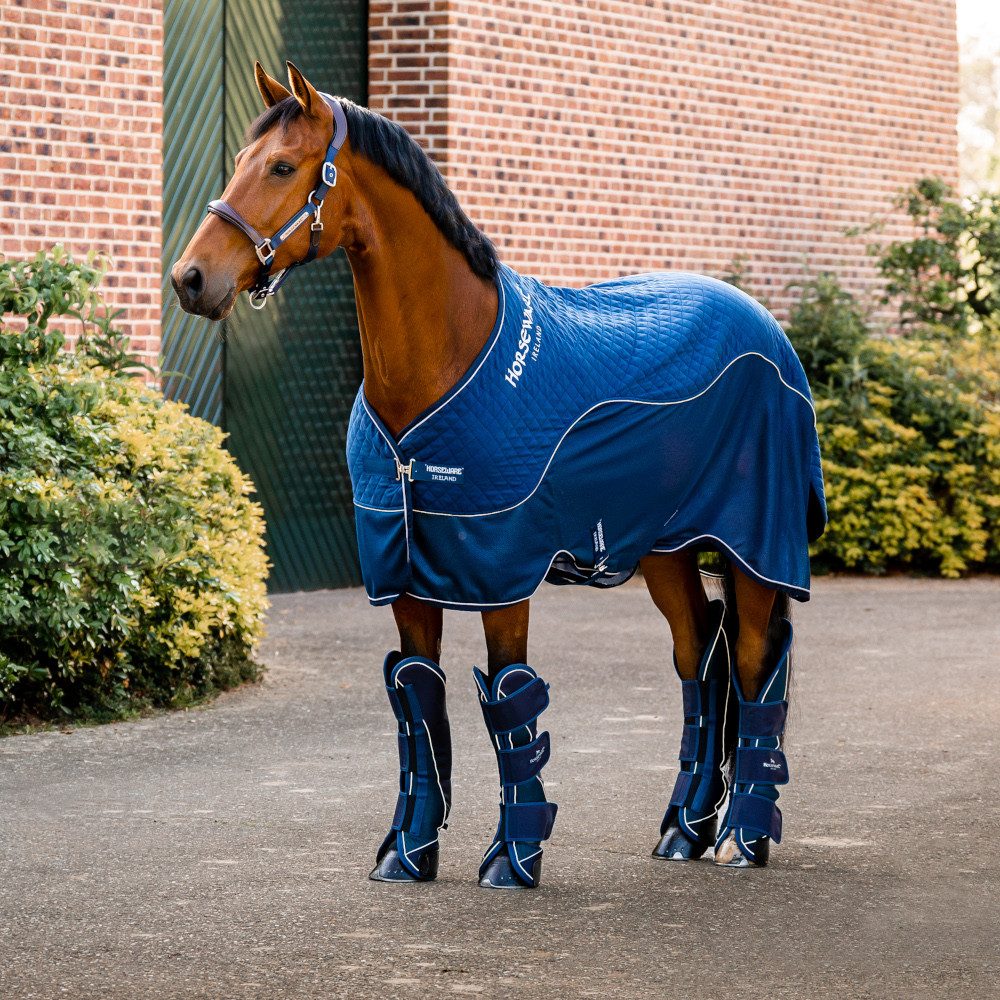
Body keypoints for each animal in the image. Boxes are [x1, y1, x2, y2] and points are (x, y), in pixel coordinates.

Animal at [171, 61, 826, 889]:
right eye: (239, 163)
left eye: (284, 167)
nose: (191, 279)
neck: (443, 362)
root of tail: (764, 324)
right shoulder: (406, 575)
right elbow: (418, 699)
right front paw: (406, 855)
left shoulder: (499, 573)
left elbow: (510, 702)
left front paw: (513, 861)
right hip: (665, 549)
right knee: (698, 658)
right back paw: (682, 830)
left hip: (754, 544)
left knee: (752, 662)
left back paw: (742, 839)